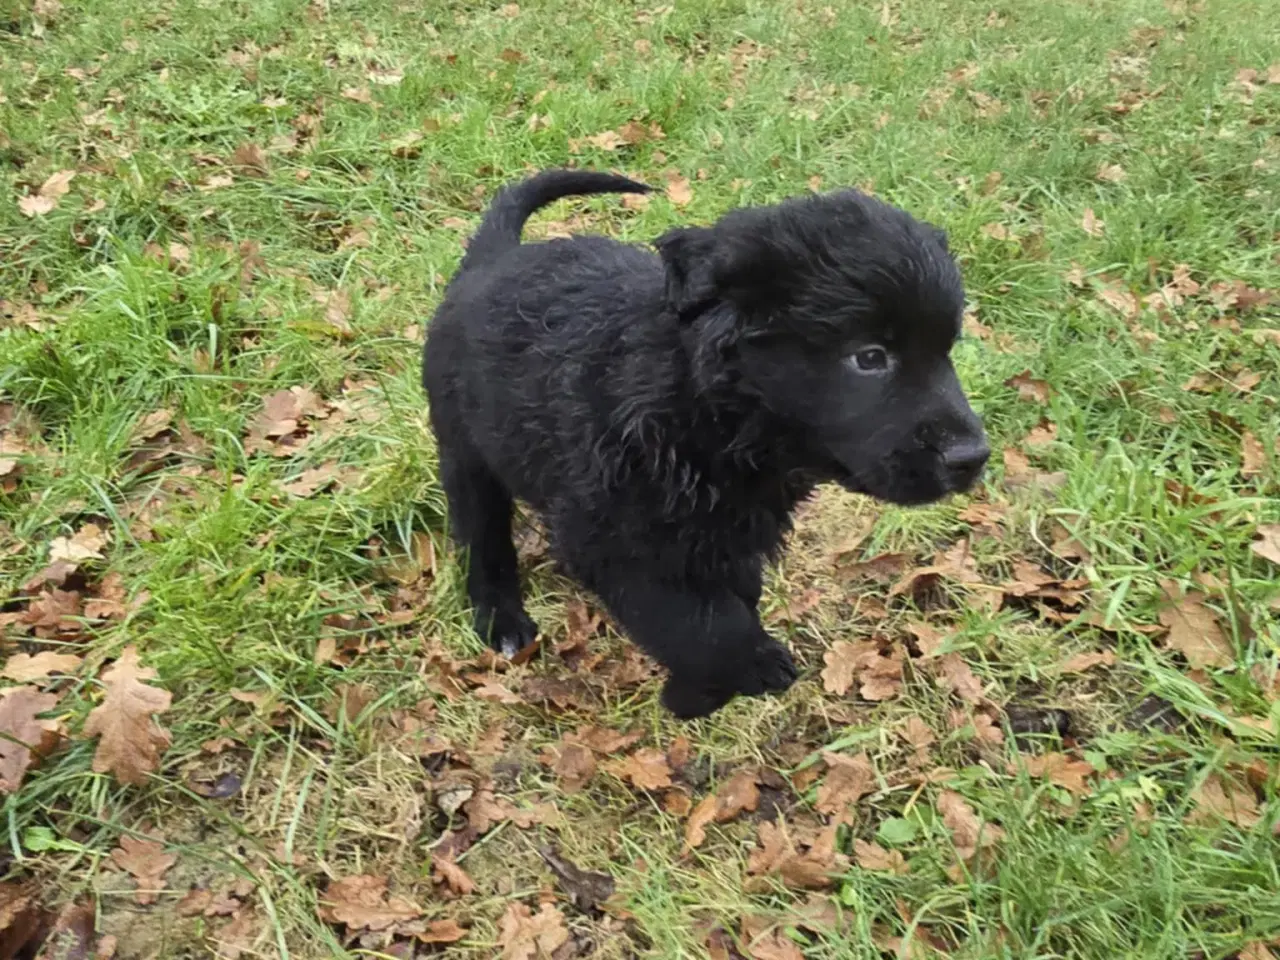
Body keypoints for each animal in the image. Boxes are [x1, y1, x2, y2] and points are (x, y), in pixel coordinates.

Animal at [424, 168, 983, 716]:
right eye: (870, 357)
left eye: (947, 349)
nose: (972, 457)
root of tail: (489, 260)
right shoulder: (608, 537)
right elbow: (705, 629)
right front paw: (742, 671)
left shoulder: (737, 536)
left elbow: (729, 605)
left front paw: (696, 692)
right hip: (466, 455)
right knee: (483, 540)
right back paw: (502, 621)